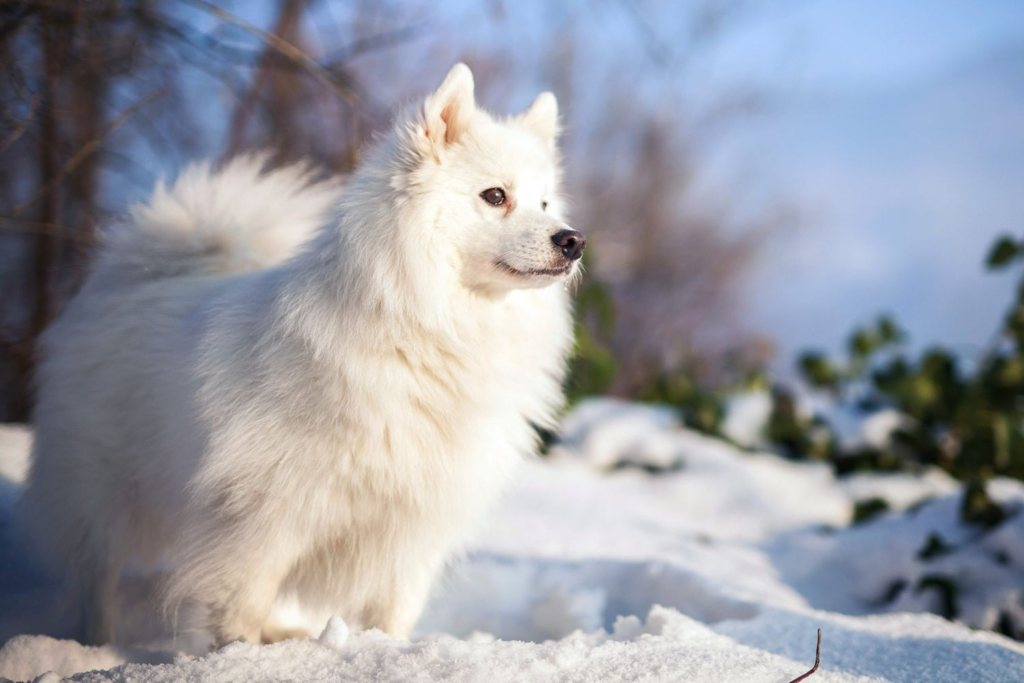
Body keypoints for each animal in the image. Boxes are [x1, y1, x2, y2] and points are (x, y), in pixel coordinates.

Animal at [22, 63, 585, 647]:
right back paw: (94, 644)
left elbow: (393, 615)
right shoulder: (263, 516)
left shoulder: (412, 527)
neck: (427, 335)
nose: (573, 240)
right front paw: (237, 656)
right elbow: (238, 606)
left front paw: (387, 651)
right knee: (96, 579)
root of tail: (129, 279)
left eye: (546, 204)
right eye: (495, 196)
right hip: (98, 494)